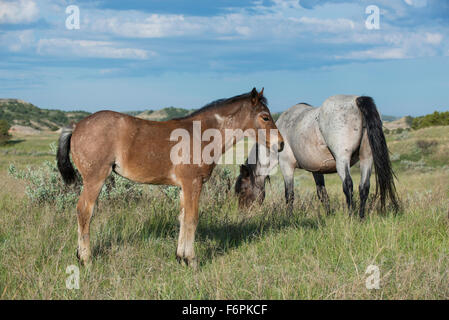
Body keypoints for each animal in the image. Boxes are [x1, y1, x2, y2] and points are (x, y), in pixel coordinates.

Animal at [57, 87, 284, 268]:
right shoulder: (193, 183)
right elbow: (192, 219)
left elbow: (183, 218)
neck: (200, 135)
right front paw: (192, 260)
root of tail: (76, 126)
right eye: (265, 117)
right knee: (84, 211)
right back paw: (85, 259)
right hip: (95, 178)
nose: (280, 144)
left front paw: (180, 257)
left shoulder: (184, 186)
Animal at [236, 94, 398, 219]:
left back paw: (351, 217)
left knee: (348, 185)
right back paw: (361, 217)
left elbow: (289, 194)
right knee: (364, 187)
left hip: (342, 160)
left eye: (242, 190)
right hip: (367, 158)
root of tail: (356, 100)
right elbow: (322, 194)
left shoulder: (286, 166)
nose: (243, 213)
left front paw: (288, 217)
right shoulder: (316, 170)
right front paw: (328, 214)